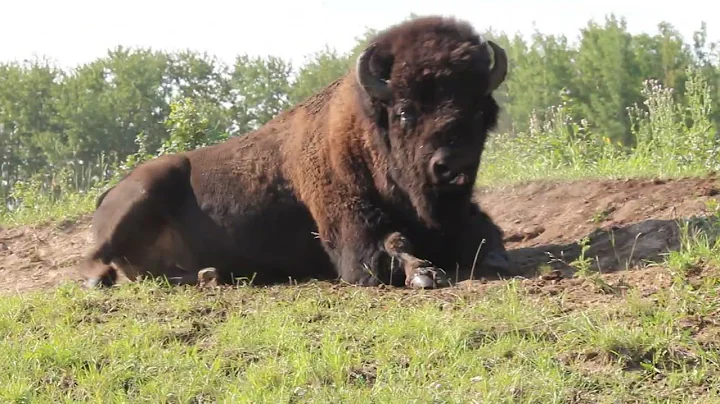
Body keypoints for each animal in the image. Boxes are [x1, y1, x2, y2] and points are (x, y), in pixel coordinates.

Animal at [78, 15, 513, 289]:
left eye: (479, 109)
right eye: (406, 111)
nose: (452, 166)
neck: (363, 136)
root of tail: (112, 189)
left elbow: (485, 233)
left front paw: (496, 257)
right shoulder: (352, 233)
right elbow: (391, 246)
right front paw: (426, 274)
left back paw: (208, 274)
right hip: (146, 189)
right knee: (94, 257)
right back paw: (100, 280)